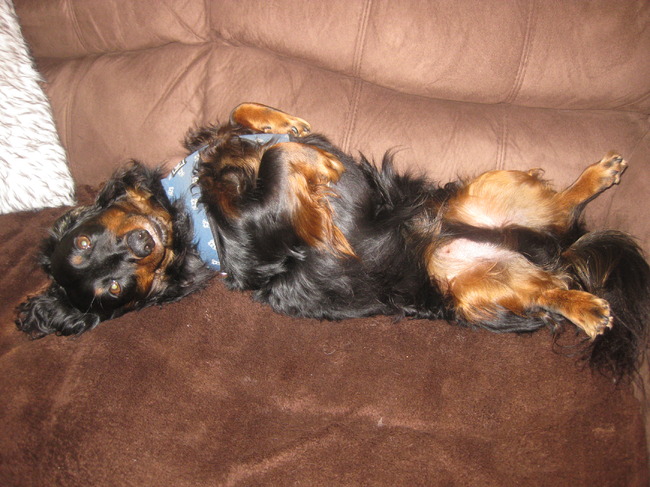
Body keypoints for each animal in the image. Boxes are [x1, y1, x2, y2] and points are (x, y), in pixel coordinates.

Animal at [17, 103, 650, 380]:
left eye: (82, 242)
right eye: (113, 289)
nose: (141, 248)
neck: (186, 217)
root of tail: (544, 250)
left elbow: (245, 120)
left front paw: (284, 122)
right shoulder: (262, 216)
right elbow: (278, 159)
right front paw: (314, 158)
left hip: (485, 194)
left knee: (562, 210)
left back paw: (599, 175)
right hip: (470, 280)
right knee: (551, 288)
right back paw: (588, 308)